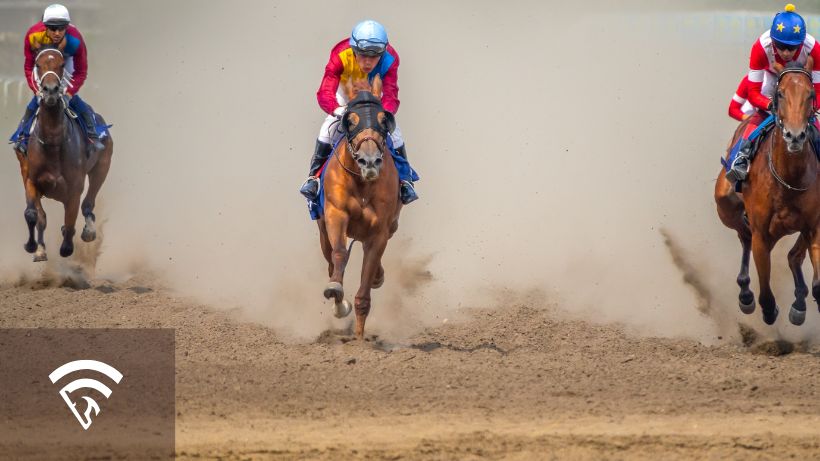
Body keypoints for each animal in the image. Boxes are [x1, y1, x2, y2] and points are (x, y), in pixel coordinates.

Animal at [15, 46, 113, 262]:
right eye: (37, 64)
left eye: (61, 64)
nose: (50, 90)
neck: (53, 142)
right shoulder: (32, 181)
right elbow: (34, 215)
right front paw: (34, 247)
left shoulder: (74, 188)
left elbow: (70, 222)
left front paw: (67, 245)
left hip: (102, 167)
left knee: (88, 204)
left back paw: (88, 230)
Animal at [318, 73, 400, 336]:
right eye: (351, 120)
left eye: (384, 120)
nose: (370, 161)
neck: (363, 184)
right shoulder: (336, 214)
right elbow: (339, 254)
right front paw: (336, 294)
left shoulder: (380, 231)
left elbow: (364, 295)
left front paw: (359, 339)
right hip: (322, 228)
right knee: (329, 258)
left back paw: (377, 276)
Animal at [716, 63, 820, 326]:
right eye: (780, 94)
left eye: (811, 95)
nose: (795, 135)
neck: (789, 179)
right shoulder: (761, 233)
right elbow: (766, 293)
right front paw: (766, 307)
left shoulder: (814, 226)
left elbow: (818, 283)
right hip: (726, 205)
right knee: (744, 236)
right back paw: (745, 293)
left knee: (793, 256)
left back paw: (799, 302)